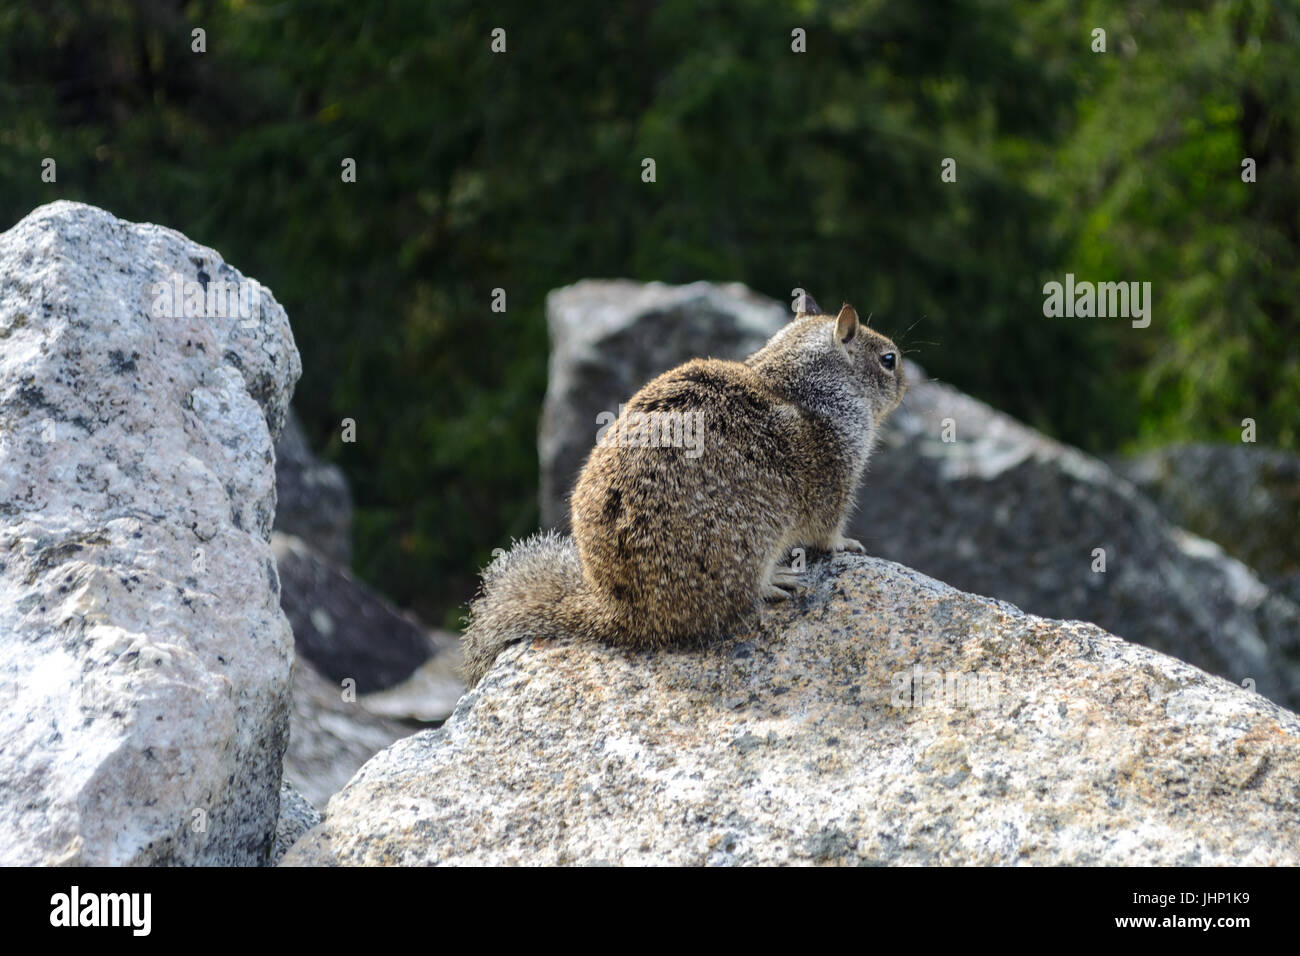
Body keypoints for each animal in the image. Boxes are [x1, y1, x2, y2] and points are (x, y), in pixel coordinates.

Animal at [461, 295, 908, 687]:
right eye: (890, 360)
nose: (905, 387)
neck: (802, 385)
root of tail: (621, 612)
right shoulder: (835, 482)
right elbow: (826, 534)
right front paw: (848, 544)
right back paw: (775, 581)